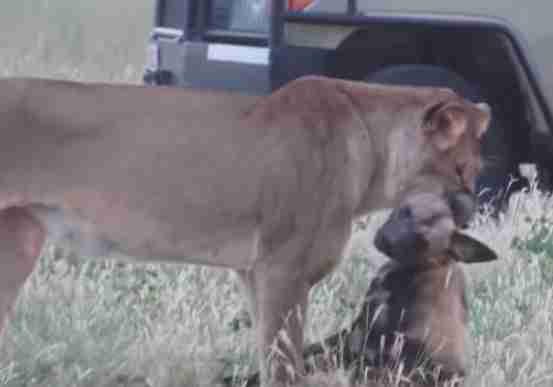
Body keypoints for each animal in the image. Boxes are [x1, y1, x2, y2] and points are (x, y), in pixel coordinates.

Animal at [0, 74, 490, 386]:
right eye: (464, 169)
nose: (472, 208)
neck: (373, 152)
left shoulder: (255, 273)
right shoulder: (282, 271)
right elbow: (284, 366)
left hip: (18, 242)